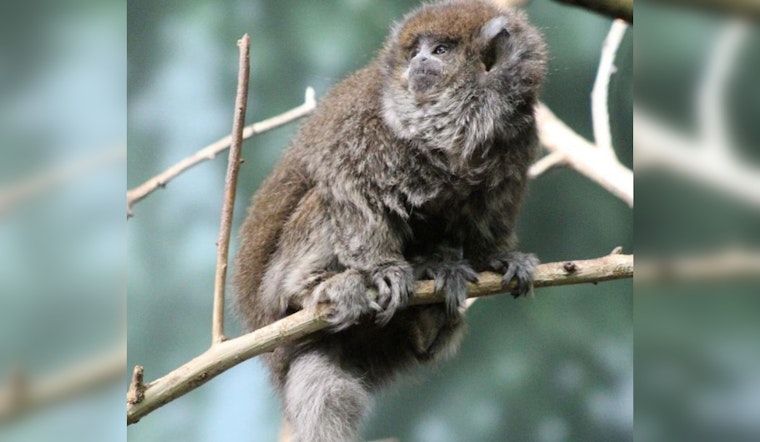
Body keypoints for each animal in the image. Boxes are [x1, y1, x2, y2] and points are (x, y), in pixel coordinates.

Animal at [233, 1, 547, 441]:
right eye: (416, 50)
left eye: (441, 50)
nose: (418, 61)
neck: (461, 122)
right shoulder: (373, 127)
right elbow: (348, 184)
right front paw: (384, 269)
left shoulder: (518, 135)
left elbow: (487, 210)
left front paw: (494, 257)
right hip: (271, 299)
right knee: (323, 201)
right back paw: (310, 289)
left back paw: (431, 302)